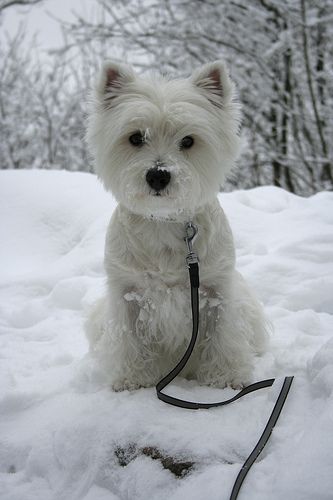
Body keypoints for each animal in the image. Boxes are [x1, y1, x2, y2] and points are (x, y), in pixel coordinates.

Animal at [85, 59, 268, 390]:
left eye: (188, 141)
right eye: (135, 138)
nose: (158, 175)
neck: (163, 221)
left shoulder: (216, 288)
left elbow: (223, 334)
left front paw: (226, 377)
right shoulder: (127, 291)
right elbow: (129, 338)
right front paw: (131, 379)